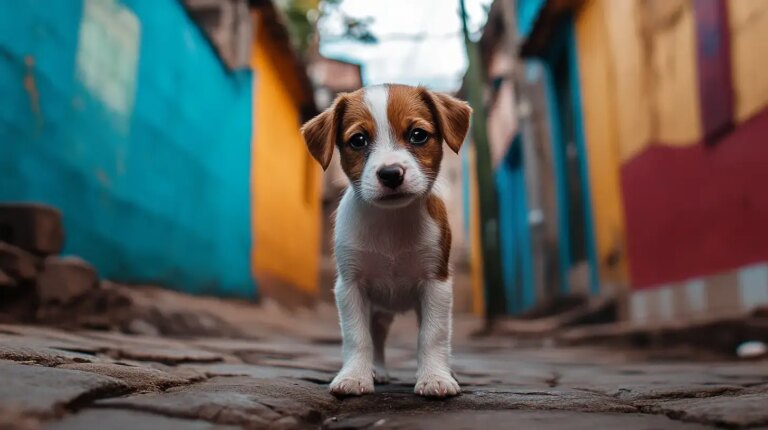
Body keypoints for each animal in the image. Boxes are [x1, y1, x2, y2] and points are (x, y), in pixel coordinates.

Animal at [302, 83, 472, 396]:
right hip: (377, 308)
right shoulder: (350, 286)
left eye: (418, 135)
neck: (391, 222)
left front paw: (435, 377)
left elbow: (433, 335)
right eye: (358, 140)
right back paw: (377, 370)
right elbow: (357, 337)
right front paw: (355, 376)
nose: (391, 173)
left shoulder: (436, 284)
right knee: (377, 335)